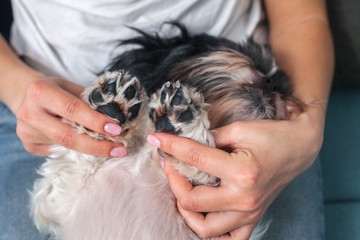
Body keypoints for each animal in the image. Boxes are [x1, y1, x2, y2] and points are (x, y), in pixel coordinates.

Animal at [31, 23, 306, 240]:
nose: (272, 85)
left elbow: (205, 170)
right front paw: (110, 111)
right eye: (254, 58)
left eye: (284, 90)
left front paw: (183, 127)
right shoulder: (58, 202)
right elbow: (79, 158)